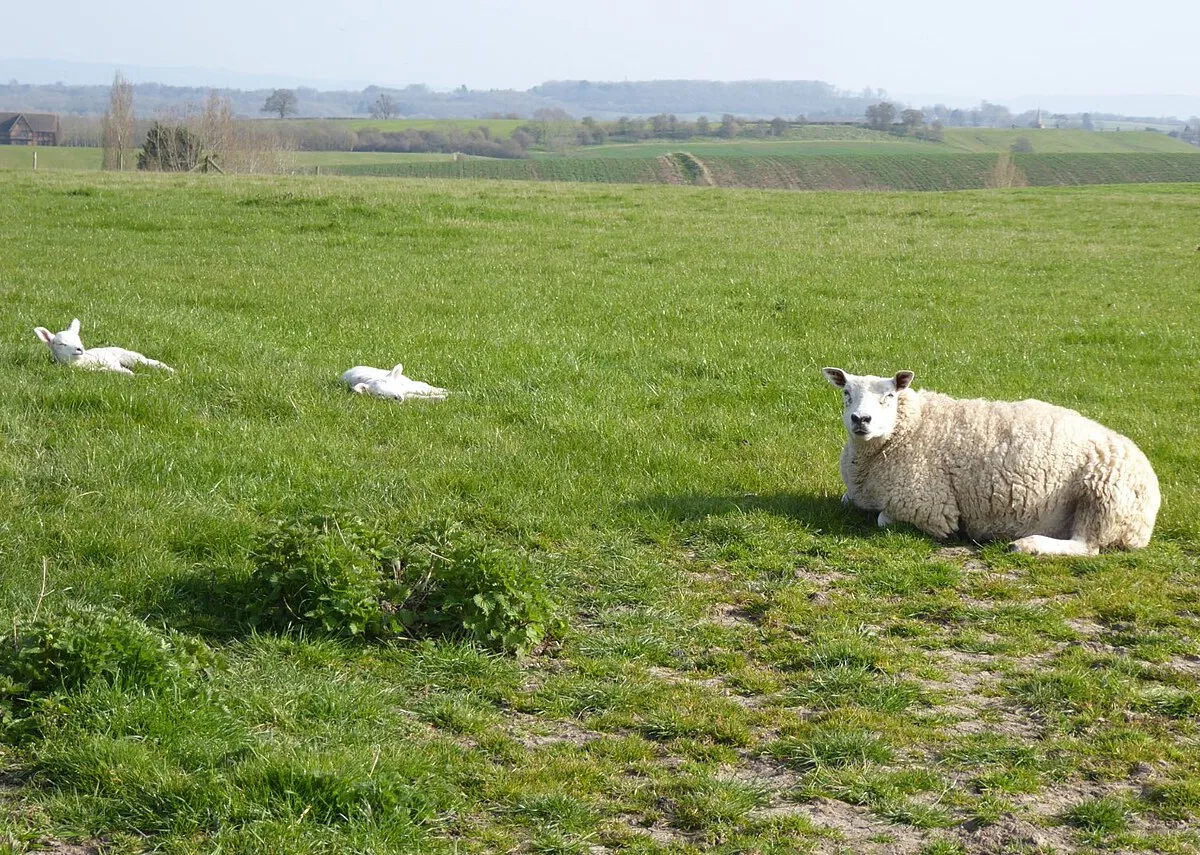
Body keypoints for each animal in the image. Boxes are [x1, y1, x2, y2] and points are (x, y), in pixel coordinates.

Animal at [34, 318, 174, 376]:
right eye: (61, 344)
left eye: (78, 339)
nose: (80, 349)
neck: (81, 362)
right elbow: (105, 370)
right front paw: (129, 374)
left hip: (131, 356)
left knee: (150, 362)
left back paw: (169, 370)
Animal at [822, 367, 1160, 556]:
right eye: (846, 393)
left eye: (889, 396)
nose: (861, 420)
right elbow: (845, 501)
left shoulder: (929, 507)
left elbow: (882, 519)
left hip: (1102, 498)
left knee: (1087, 546)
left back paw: (1026, 546)